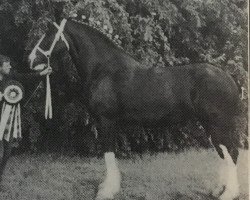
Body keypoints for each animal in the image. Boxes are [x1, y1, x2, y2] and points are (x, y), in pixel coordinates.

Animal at [28, 18, 241, 200]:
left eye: (48, 34)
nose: (30, 60)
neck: (104, 69)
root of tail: (229, 79)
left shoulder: (106, 121)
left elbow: (108, 154)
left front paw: (107, 191)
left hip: (218, 124)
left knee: (231, 153)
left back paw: (228, 193)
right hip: (210, 126)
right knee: (224, 154)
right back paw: (218, 190)